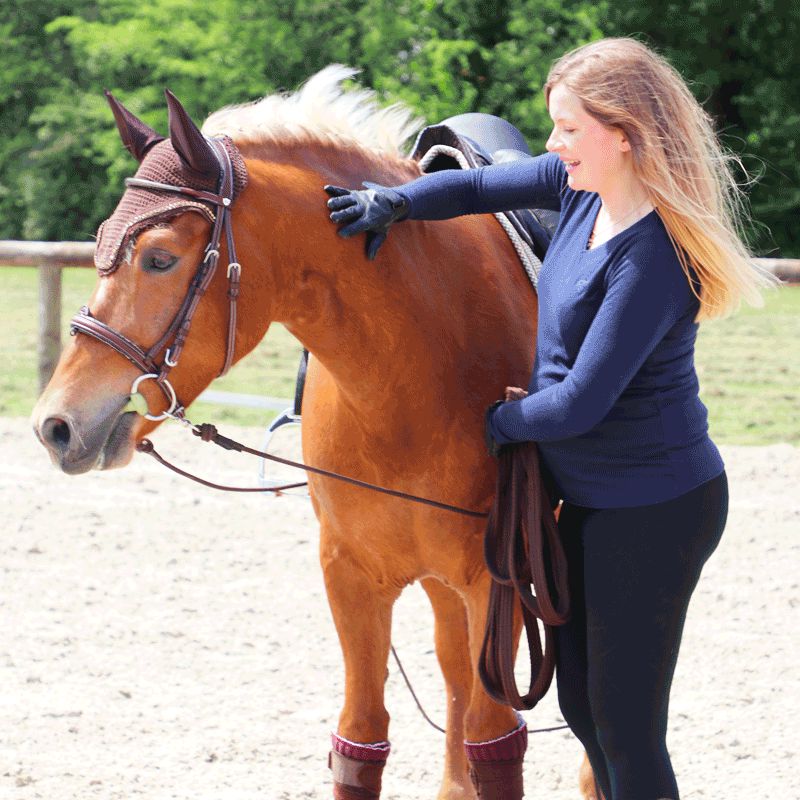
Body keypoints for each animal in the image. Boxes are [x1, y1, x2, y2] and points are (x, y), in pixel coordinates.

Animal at [31, 69, 596, 800]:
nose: (55, 424)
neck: (414, 371)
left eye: (158, 259)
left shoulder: (494, 581)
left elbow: (496, 741)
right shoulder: (349, 575)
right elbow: (362, 739)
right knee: (452, 675)